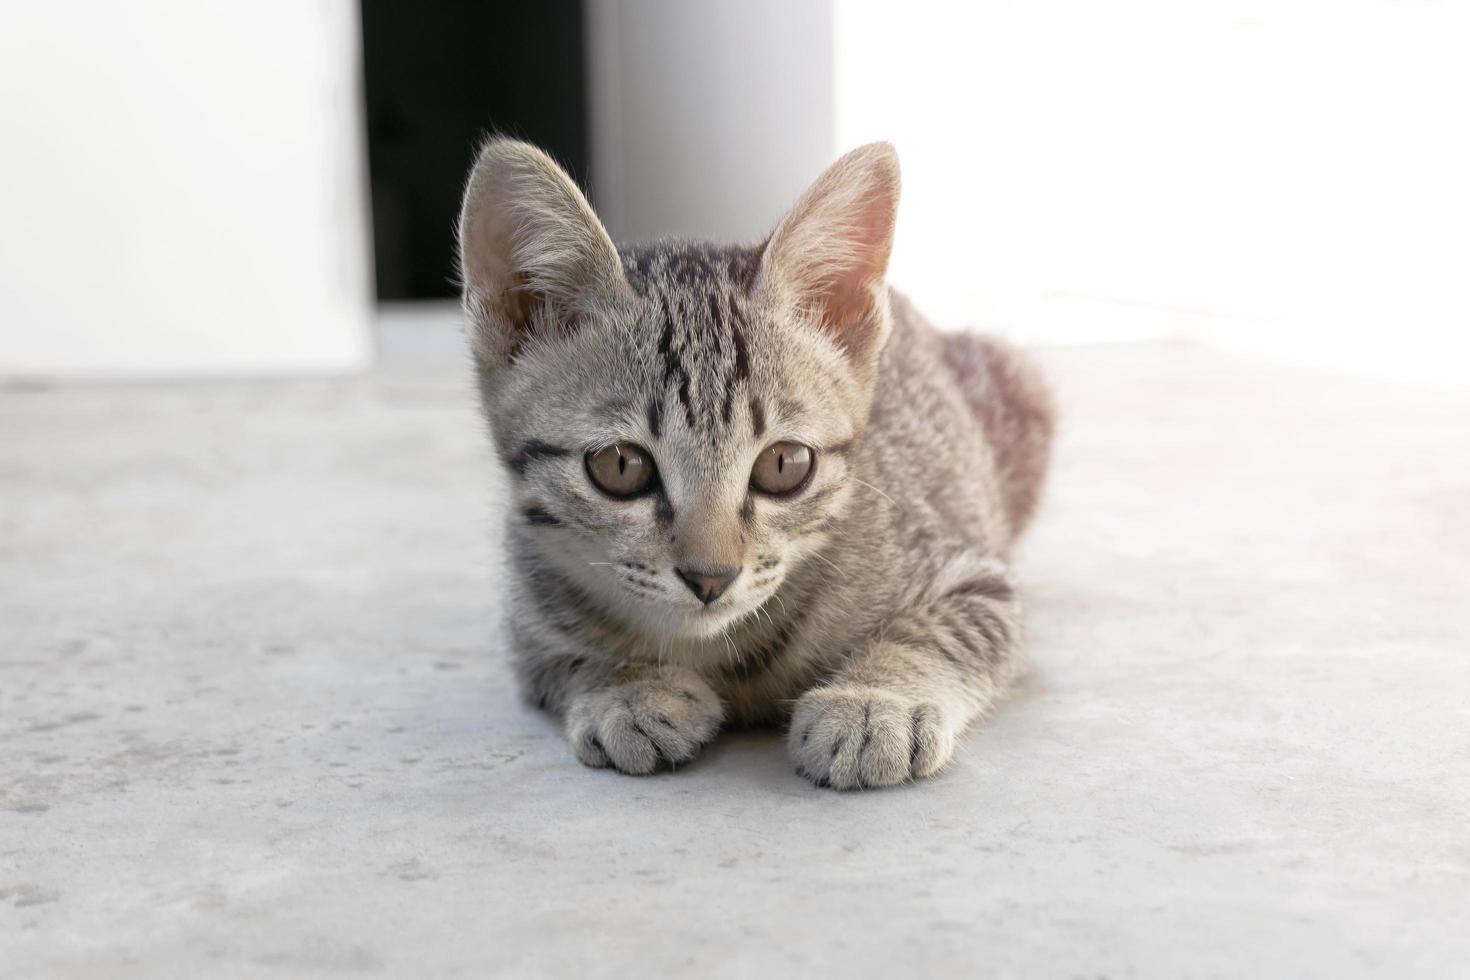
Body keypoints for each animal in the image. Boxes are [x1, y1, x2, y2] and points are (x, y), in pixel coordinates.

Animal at [452, 139, 1052, 787]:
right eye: (619, 466)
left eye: (785, 464)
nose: (710, 578)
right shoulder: (527, 622)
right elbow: (567, 657)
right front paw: (628, 687)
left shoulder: (974, 574)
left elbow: (941, 631)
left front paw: (874, 700)